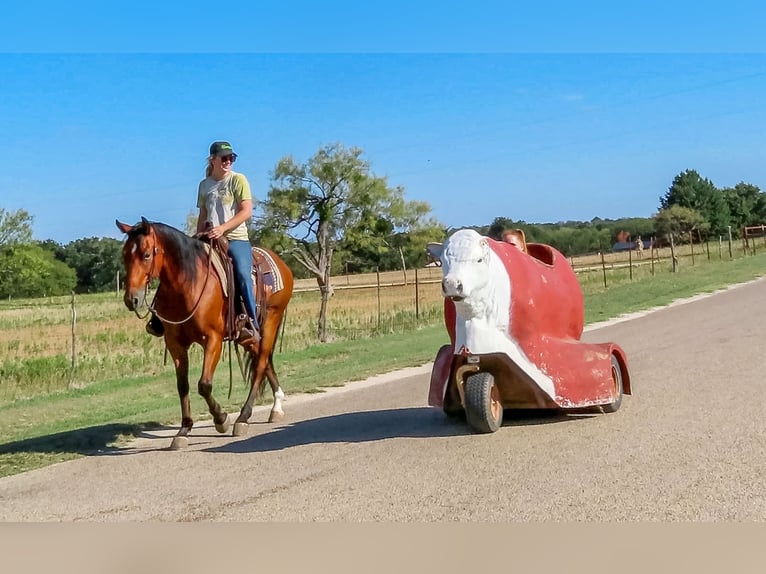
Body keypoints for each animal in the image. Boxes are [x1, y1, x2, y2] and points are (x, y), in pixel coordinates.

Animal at [116, 218, 294, 452]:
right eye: (125, 255)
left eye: (146, 255)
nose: (131, 299)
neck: (188, 284)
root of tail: (281, 263)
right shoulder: (175, 344)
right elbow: (182, 386)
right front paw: (184, 430)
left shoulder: (213, 340)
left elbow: (204, 384)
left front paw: (221, 419)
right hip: (248, 336)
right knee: (262, 360)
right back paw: (277, 406)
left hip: (271, 320)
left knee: (261, 364)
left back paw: (243, 418)